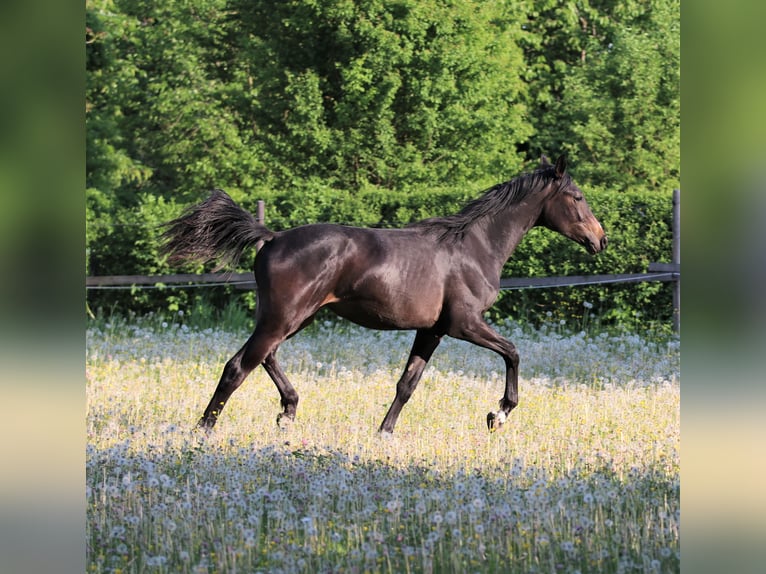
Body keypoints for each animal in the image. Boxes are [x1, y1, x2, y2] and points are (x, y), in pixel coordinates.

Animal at [164, 155, 612, 434]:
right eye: (577, 197)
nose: (600, 239)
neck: (474, 247)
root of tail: (270, 237)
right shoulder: (465, 323)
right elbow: (513, 352)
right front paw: (497, 415)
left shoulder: (432, 330)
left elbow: (407, 383)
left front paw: (385, 431)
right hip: (285, 316)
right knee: (239, 365)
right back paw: (204, 429)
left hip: (294, 316)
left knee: (264, 357)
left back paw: (288, 411)